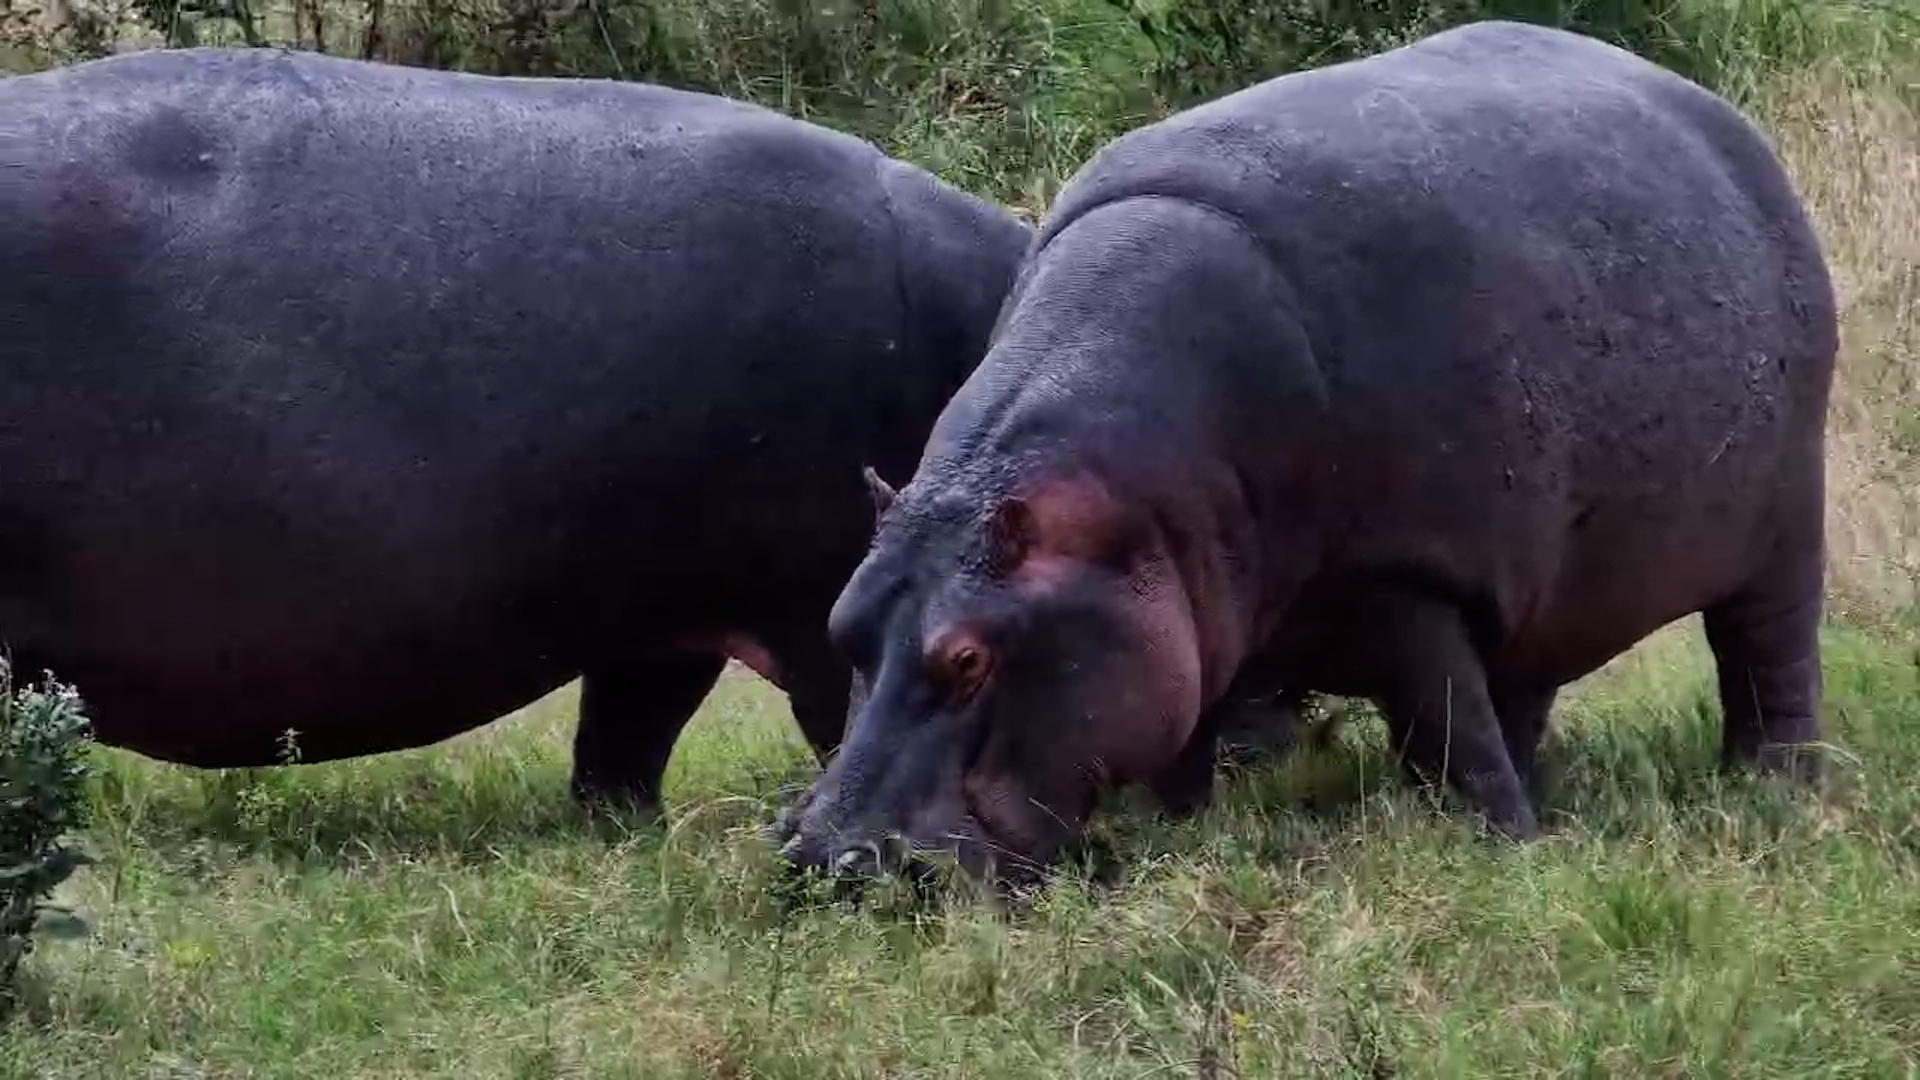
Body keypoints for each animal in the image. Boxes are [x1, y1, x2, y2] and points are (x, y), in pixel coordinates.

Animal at [778, 20, 1837, 881]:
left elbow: (1447, 733)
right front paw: (1172, 841)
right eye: (841, 625)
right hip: (1539, 573)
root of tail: (1715, 116)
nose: (826, 856)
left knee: (1766, 656)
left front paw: (1503, 851)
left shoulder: (1412, 584)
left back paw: (1775, 792)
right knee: (1525, 684)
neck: (1122, 500)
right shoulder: (1176, 611)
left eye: (967, 658)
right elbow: (1182, 739)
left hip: (1786, 518)